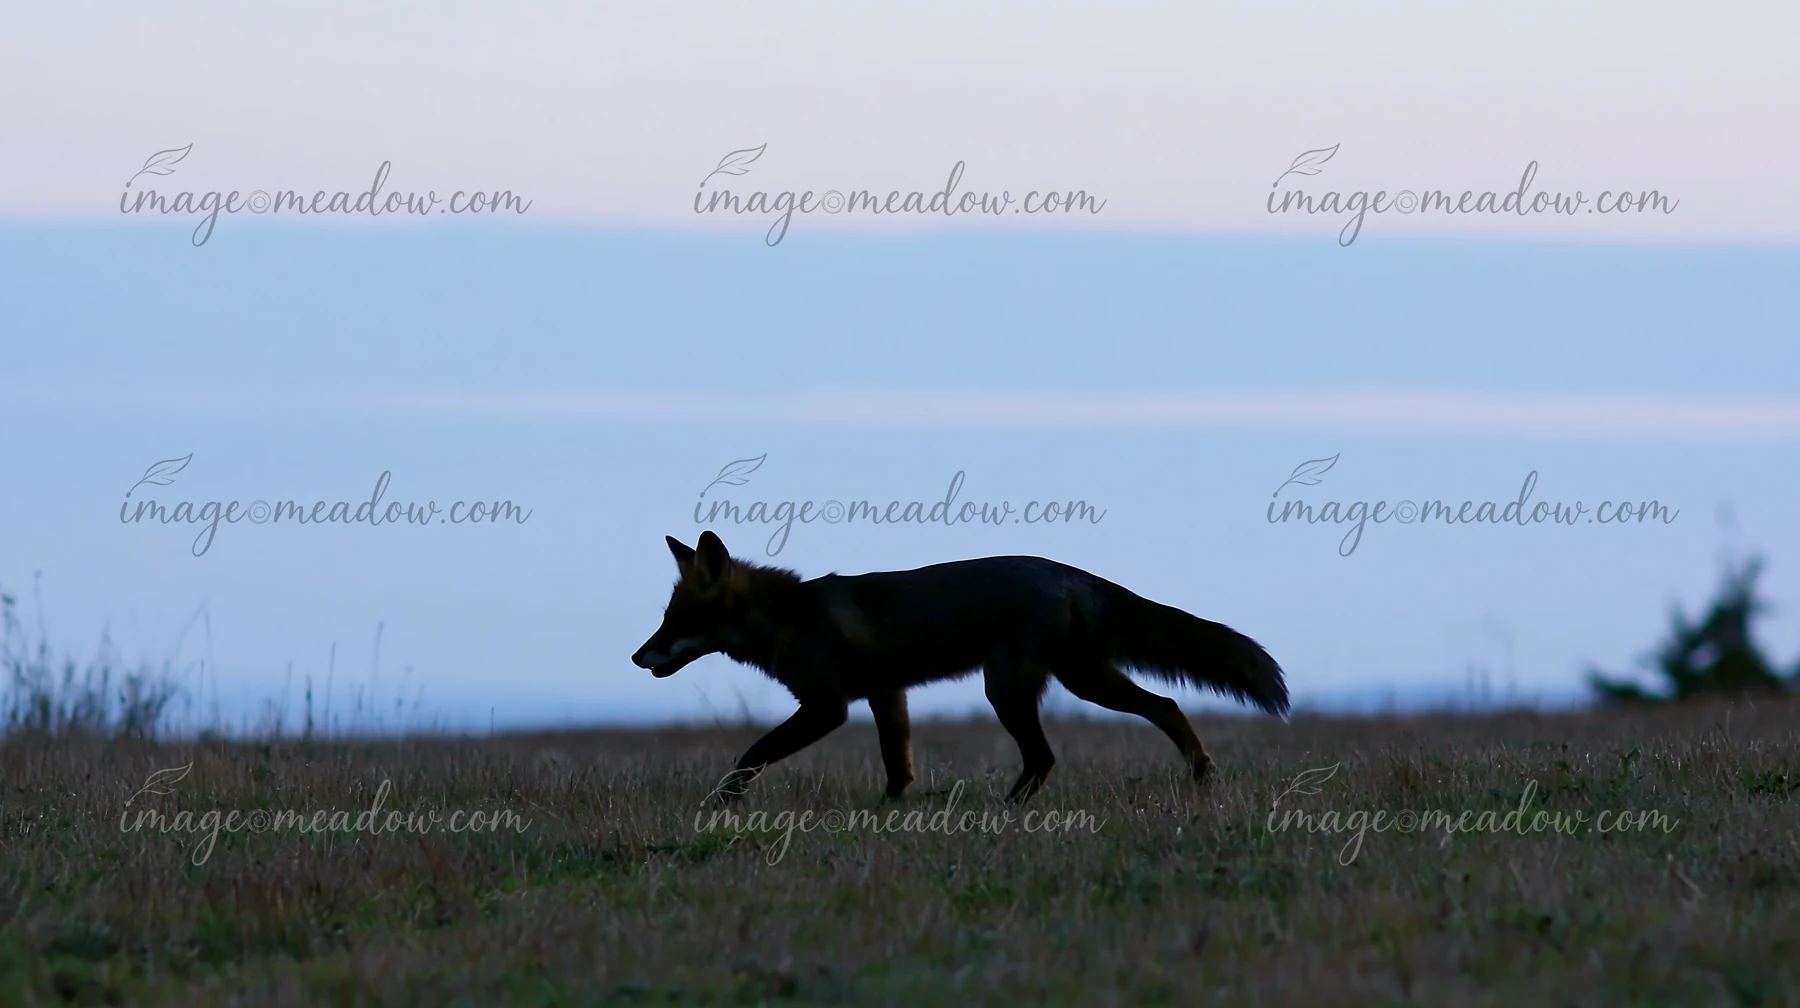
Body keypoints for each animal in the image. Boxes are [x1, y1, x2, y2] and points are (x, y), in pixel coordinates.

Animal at [632, 531, 1287, 804]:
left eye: (674, 621)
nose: (637, 657)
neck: (791, 618)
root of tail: (1068, 571)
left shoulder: (826, 706)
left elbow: (752, 753)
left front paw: (722, 802)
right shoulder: (886, 693)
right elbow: (898, 763)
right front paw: (890, 810)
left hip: (1015, 689)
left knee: (1048, 755)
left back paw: (1006, 809)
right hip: (1078, 678)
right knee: (1165, 706)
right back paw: (1201, 774)